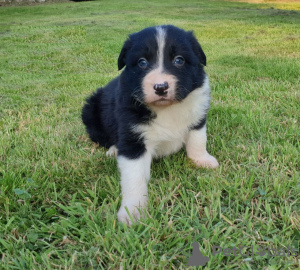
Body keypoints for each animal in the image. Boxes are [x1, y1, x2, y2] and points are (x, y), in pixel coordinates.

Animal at [81, 25, 219, 225]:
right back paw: (114, 149)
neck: (166, 109)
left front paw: (202, 160)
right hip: (90, 111)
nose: (160, 87)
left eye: (179, 60)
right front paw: (132, 211)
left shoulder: (198, 115)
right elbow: (135, 177)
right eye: (142, 62)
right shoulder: (133, 138)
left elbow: (198, 139)